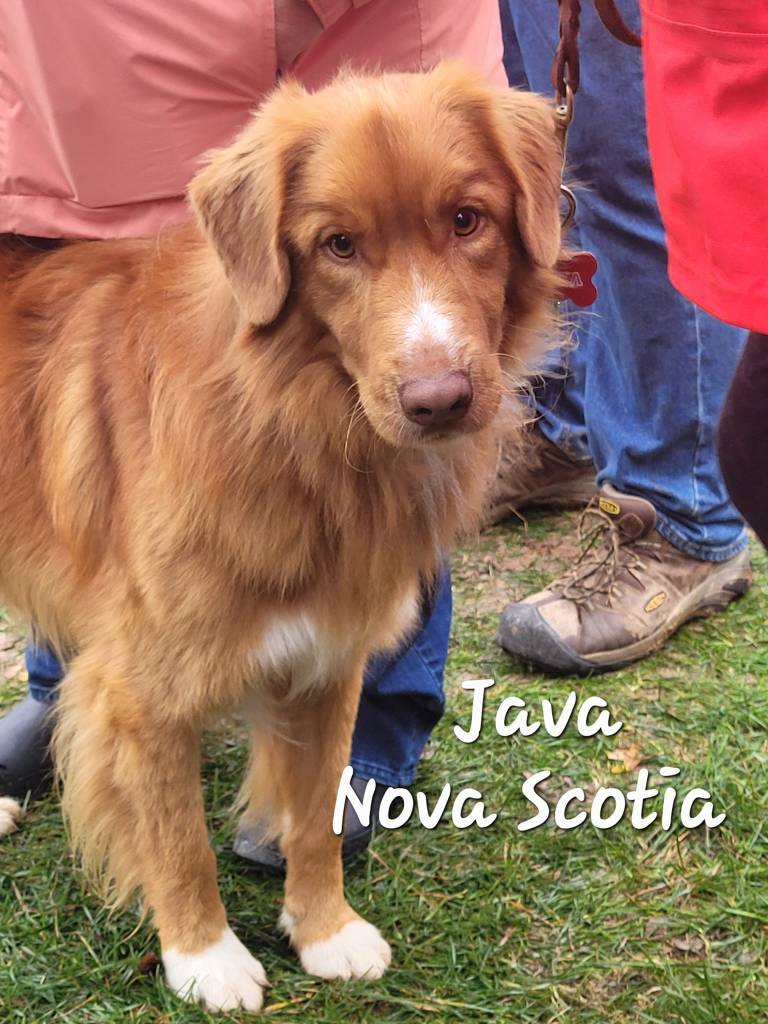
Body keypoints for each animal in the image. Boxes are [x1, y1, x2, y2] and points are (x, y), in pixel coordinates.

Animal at [0, 64, 561, 1011]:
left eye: (466, 219)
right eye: (337, 245)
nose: (439, 401)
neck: (292, 420)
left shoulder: (330, 657)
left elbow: (315, 819)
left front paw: (324, 929)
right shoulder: (142, 688)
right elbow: (178, 838)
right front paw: (204, 958)